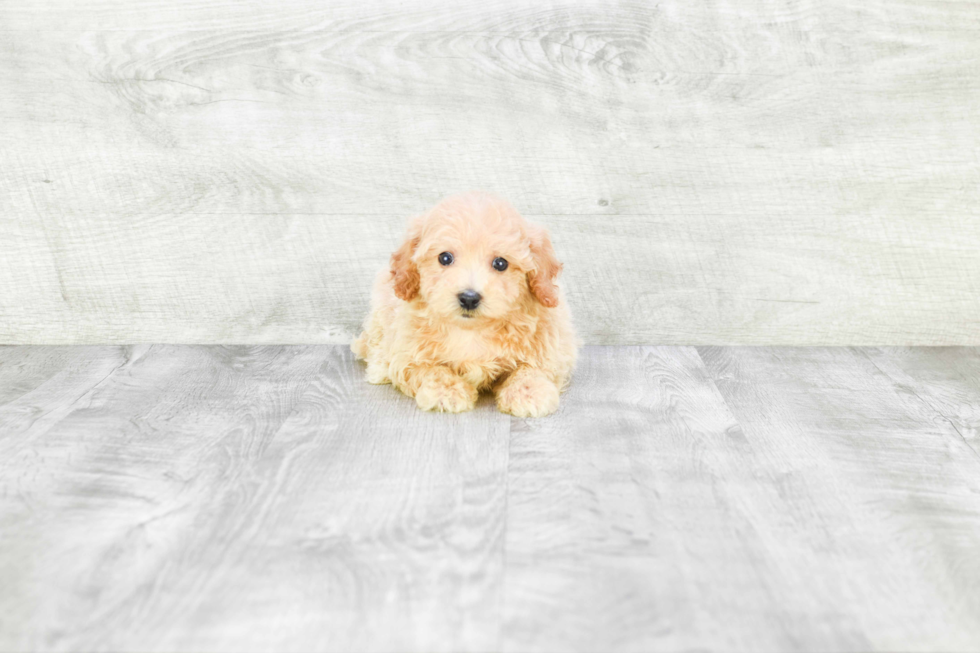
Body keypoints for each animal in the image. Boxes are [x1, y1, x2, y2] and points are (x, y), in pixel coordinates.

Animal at [352, 191, 580, 416]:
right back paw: (379, 368)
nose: (469, 298)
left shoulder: (552, 347)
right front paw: (447, 392)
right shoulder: (409, 355)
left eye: (500, 263)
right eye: (445, 258)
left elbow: (532, 368)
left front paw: (528, 392)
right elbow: (433, 370)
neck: (471, 330)